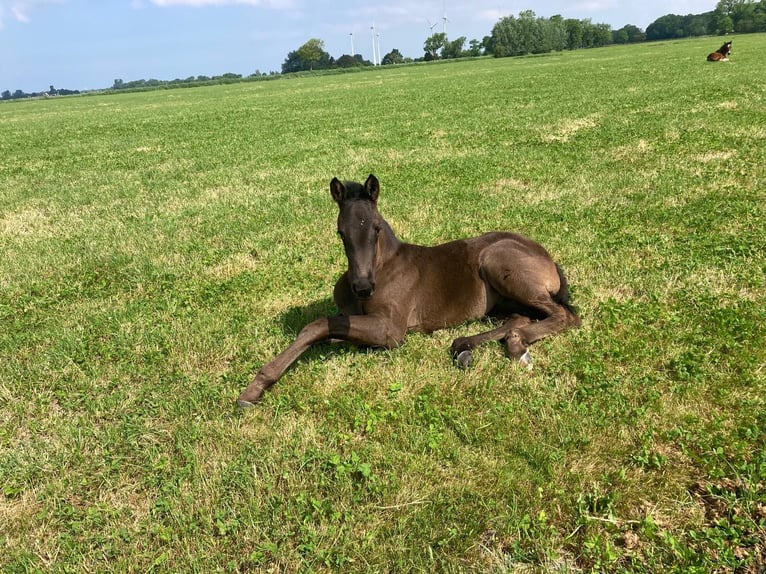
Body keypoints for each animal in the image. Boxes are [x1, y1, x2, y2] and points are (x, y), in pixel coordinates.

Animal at [237, 173, 580, 408]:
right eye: (340, 232)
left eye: (376, 228)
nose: (363, 287)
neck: (382, 267)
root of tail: (547, 257)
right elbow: (325, 332)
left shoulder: (391, 329)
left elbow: (317, 325)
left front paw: (255, 386)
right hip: (501, 303)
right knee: (521, 317)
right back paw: (465, 347)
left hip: (497, 262)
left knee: (564, 316)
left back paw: (517, 346)